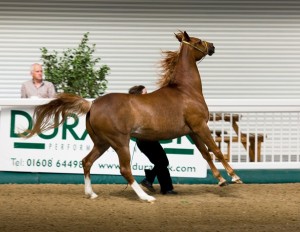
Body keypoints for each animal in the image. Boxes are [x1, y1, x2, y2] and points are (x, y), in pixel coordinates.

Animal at [24, 30, 243, 201]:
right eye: (198, 41)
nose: (212, 46)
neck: (186, 90)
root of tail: (92, 104)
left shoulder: (191, 131)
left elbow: (206, 154)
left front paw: (221, 180)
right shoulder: (199, 126)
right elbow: (216, 150)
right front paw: (234, 177)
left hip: (102, 143)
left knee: (86, 161)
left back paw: (91, 194)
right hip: (120, 142)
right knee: (125, 170)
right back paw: (146, 197)